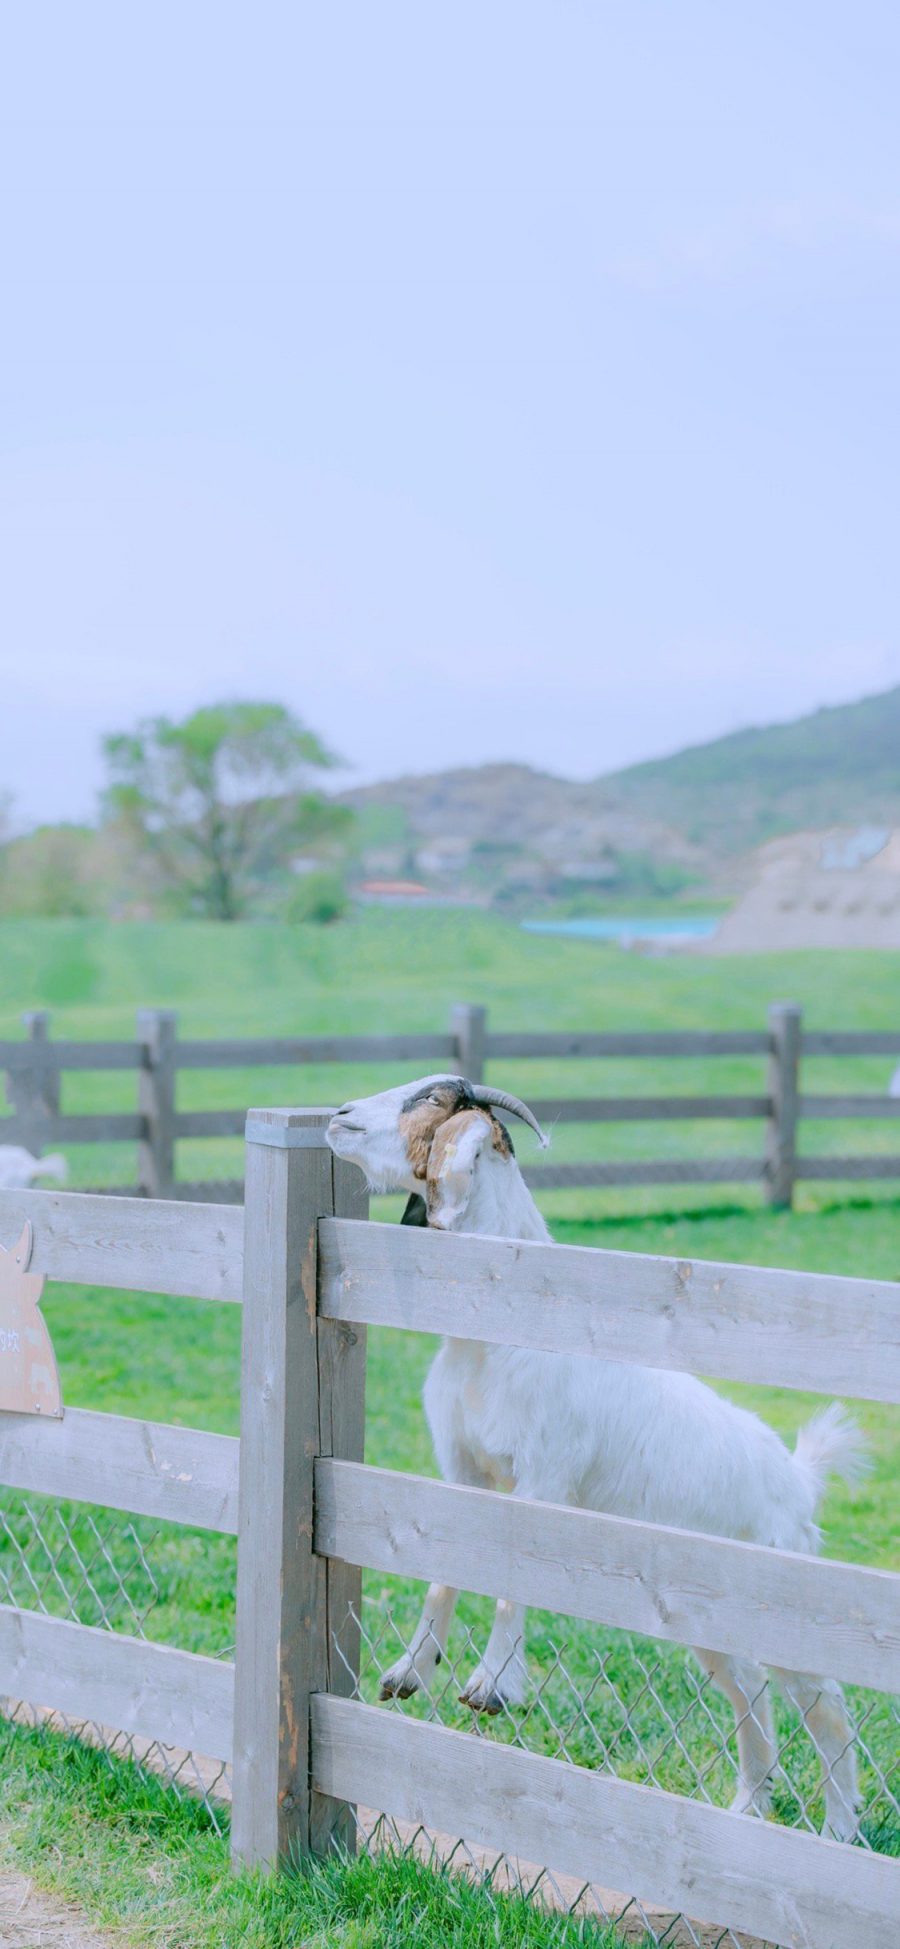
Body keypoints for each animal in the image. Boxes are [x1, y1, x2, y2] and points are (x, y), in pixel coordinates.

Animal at [327, 1075, 868, 1832]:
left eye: (432, 1100)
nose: (339, 1116)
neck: (495, 1338)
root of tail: (797, 1476)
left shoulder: (545, 1479)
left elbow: (511, 1581)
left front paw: (491, 1687)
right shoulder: (462, 1471)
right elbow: (443, 1572)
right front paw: (409, 1672)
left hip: (788, 1599)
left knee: (829, 1705)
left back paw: (841, 1826)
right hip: (712, 1616)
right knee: (751, 1688)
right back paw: (747, 1806)